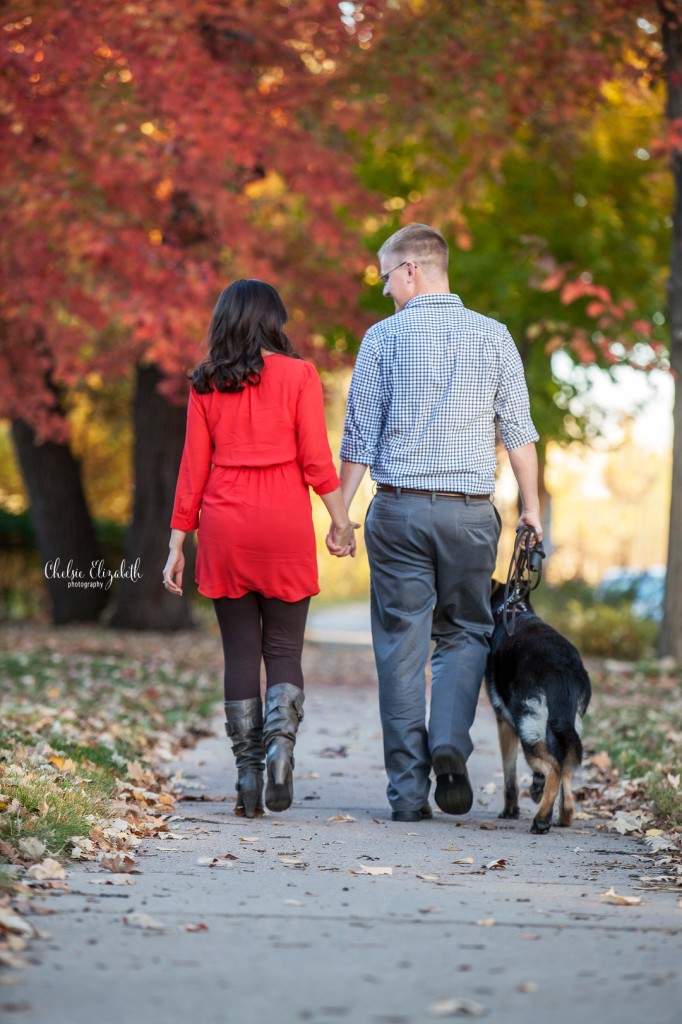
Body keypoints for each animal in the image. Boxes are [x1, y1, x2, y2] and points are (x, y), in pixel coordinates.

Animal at [483, 585, 589, 831]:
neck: (512, 609)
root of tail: (564, 670)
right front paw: (536, 788)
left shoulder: (504, 722)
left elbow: (509, 776)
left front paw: (510, 811)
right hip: (564, 726)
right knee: (565, 767)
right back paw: (563, 815)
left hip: (527, 726)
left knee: (555, 768)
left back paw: (541, 820)